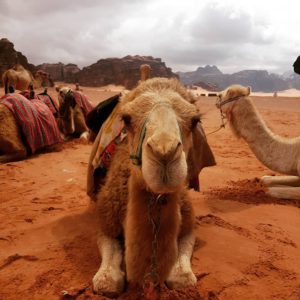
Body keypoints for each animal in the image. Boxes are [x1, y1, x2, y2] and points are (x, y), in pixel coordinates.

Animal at [89, 77, 216, 296]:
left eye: (195, 120)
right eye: (127, 119)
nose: (164, 152)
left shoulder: (188, 224)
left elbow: (182, 278)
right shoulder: (106, 222)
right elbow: (107, 282)